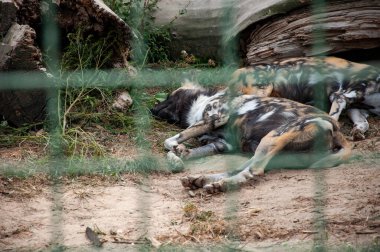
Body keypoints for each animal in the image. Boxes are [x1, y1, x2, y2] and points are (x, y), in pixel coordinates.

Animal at [150, 80, 352, 193]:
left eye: (168, 97)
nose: (151, 109)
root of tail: (337, 129)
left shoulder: (213, 119)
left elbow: (169, 141)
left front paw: (176, 152)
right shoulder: (219, 144)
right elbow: (185, 150)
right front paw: (179, 155)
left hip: (271, 139)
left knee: (253, 171)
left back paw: (220, 186)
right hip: (273, 150)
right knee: (242, 168)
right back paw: (202, 180)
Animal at [229, 56, 380, 140]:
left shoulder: (354, 109)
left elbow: (363, 123)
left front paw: (357, 132)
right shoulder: (340, 97)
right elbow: (333, 118)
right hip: (263, 90)